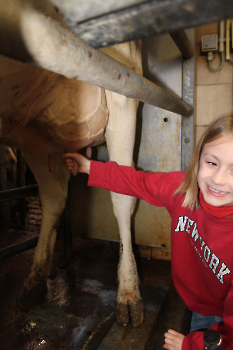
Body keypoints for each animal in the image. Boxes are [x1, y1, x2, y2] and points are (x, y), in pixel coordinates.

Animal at [0, 0, 144, 328]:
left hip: (121, 84)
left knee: (120, 197)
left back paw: (127, 294)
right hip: (32, 129)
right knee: (54, 195)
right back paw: (37, 278)